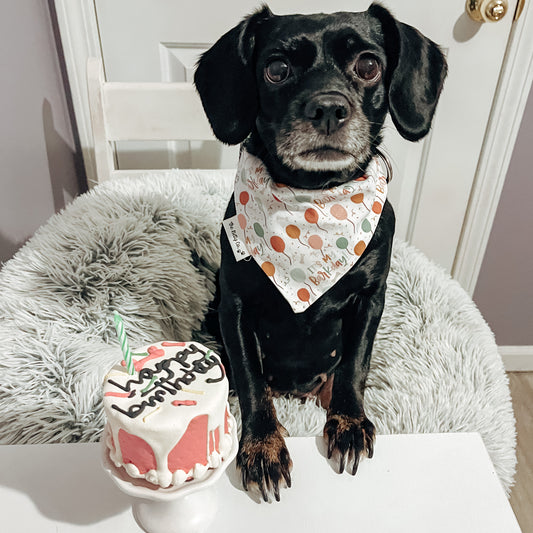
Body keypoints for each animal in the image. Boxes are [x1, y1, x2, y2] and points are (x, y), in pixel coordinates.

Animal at [194, 3, 444, 498]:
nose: (328, 107)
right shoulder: (235, 306)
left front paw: (349, 422)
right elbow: (251, 380)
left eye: (368, 65)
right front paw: (263, 445)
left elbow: (354, 367)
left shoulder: (370, 299)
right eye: (276, 69)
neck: (313, 201)